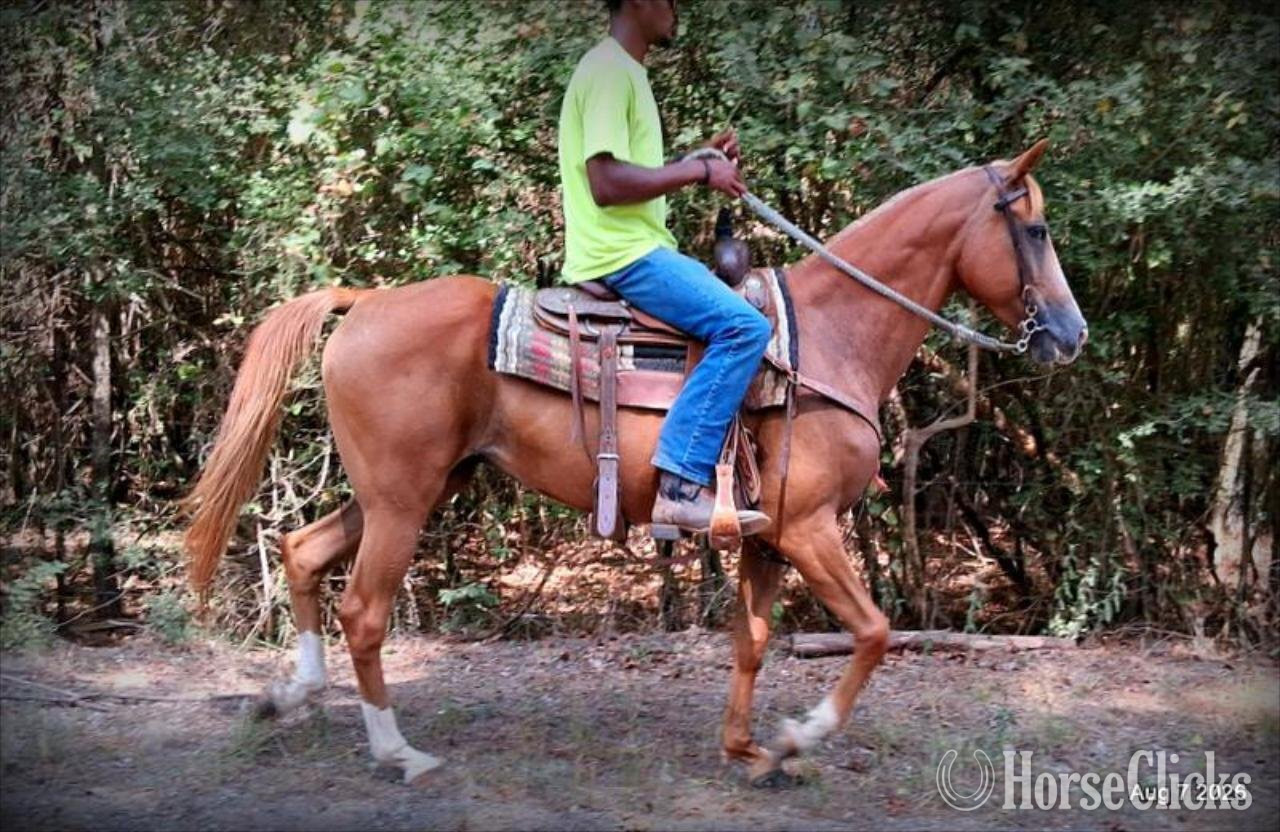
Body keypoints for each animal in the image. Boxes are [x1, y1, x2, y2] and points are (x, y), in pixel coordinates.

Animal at [184, 140, 1087, 786]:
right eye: (1036, 230)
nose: (1071, 334)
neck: (831, 335)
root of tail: (367, 301)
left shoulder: (766, 537)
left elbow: (753, 641)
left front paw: (748, 751)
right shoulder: (809, 529)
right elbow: (871, 632)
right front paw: (800, 737)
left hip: (407, 488)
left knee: (303, 552)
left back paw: (289, 695)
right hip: (403, 501)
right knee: (364, 611)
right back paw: (396, 751)